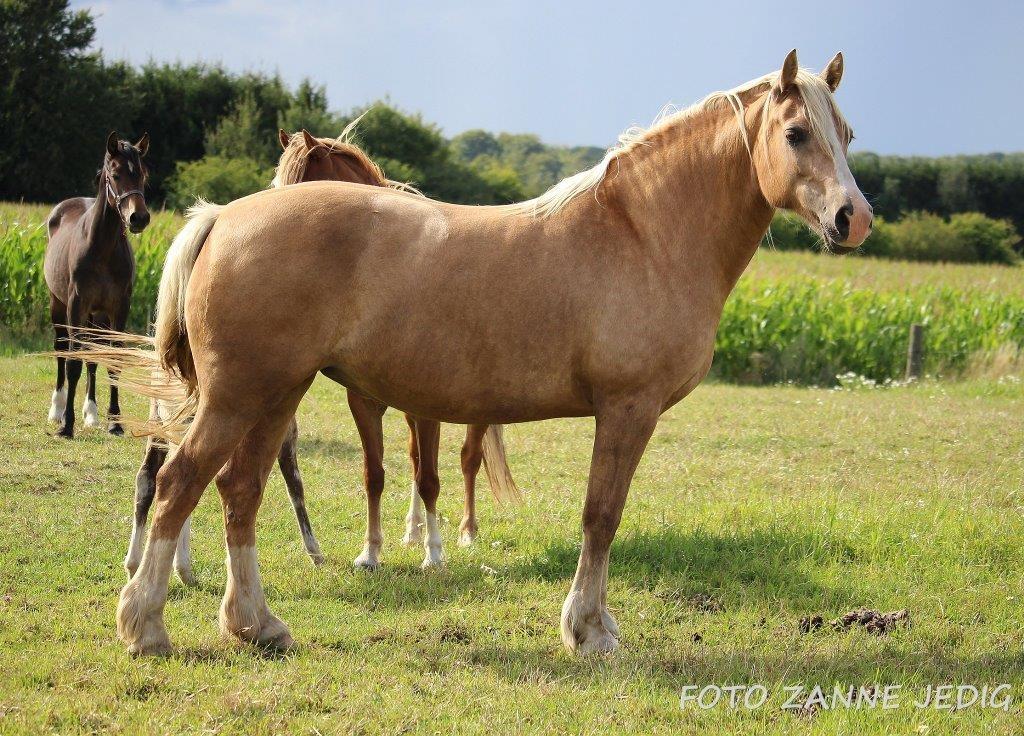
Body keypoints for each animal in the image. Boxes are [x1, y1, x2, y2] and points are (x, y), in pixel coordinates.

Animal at [44, 132, 149, 438]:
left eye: (143, 175)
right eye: (115, 174)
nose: (139, 218)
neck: (101, 248)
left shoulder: (118, 308)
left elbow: (112, 359)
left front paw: (115, 422)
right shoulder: (76, 305)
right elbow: (72, 363)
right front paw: (66, 425)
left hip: (97, 316)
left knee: (93, 354)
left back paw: (91, 413)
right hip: (58, 305)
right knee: (61, 348)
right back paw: (56, 410)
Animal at [124, 127, 520, 585]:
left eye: (301, 183)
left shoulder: (426, 413)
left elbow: (430, 479)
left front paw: (434, 555)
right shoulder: (363, 404)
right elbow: (376, 475)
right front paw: (372, 552)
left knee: (467, 460)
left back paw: (466, 531)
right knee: (414, 459)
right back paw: (413, 529)